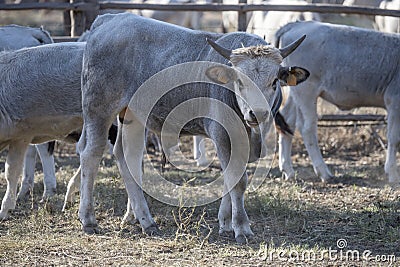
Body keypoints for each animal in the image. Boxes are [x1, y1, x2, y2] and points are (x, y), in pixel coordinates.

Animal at [79, 13, 310, 245]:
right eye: (240, 82)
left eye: (274, 81)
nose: (257, 113)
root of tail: (109, 19)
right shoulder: (223, 134)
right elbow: (237, 179)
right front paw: (242, 227)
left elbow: (229, 178)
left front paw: (225, 222)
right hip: (98, 109)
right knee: (91, 154)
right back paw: (89, 219)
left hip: (133, 115)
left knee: (128, 156)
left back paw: (144, 220)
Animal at [276, 21, 400, 184]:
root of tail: (296, 24)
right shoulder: (394, 101)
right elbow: (394, 138)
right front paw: (393, 174)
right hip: (307, 91)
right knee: (307, 128)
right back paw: (324, 172)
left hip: (295, 92)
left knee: (287, 121)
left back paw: (288, 171)